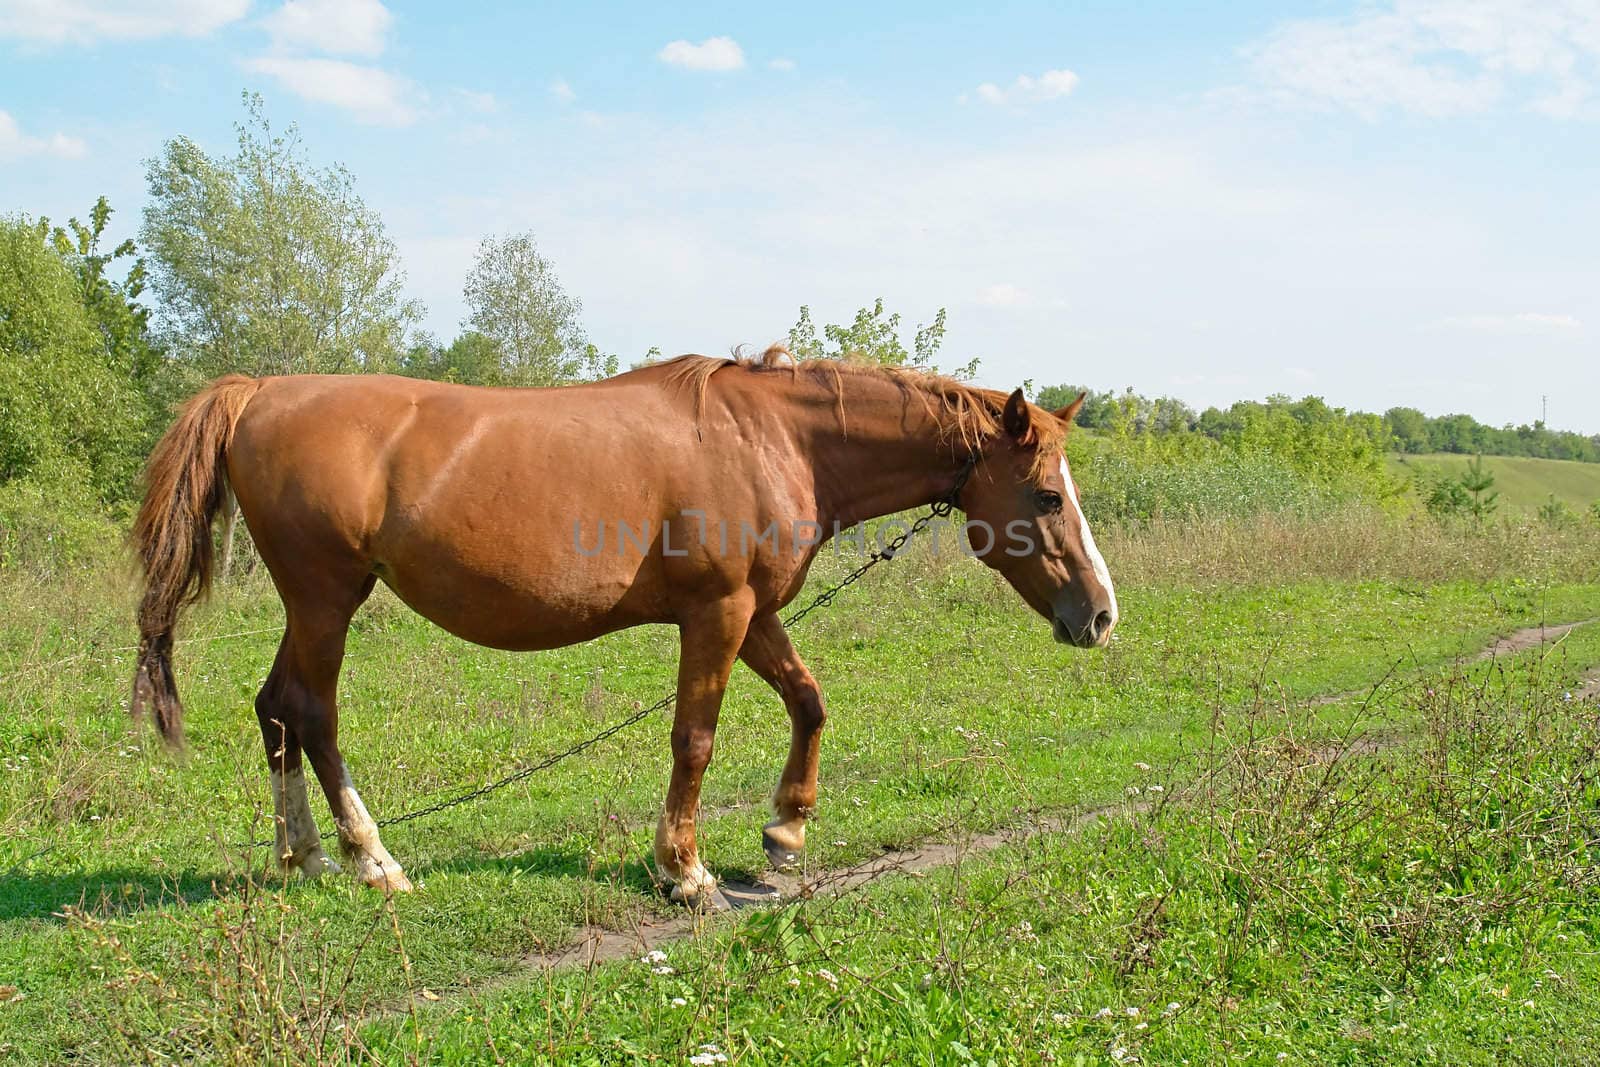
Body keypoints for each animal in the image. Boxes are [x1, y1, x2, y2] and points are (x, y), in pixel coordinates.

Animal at [131, 347, 1113, 908]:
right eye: (1047, 495)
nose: (1100, 615)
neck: (772, 439)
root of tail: (261, 393)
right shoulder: (717, 614)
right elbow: (695, 739)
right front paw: (684, 868)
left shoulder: (755, 613)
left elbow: (809, 701)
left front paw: (786, 831)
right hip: (328, 599)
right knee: (313, 714)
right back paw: (372, 859)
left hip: (311, 606)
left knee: (274, 709)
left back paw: (304, 853)